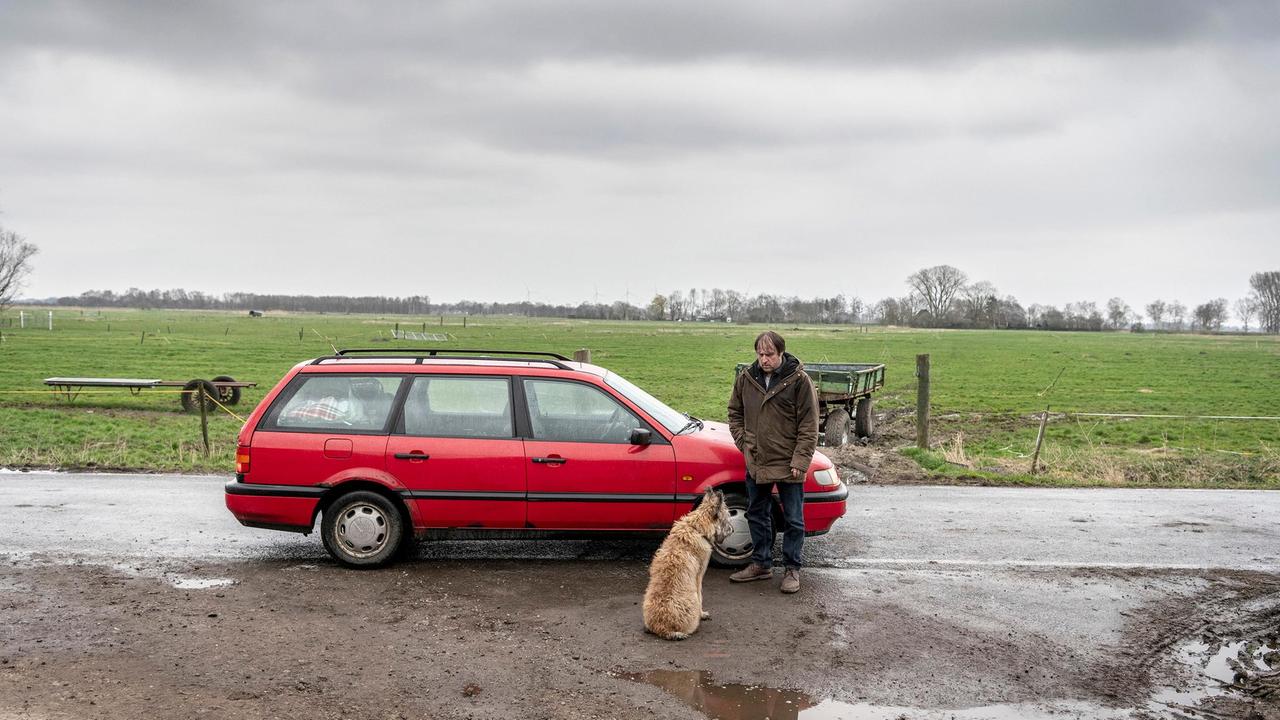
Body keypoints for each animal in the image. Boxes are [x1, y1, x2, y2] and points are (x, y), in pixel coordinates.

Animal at [640, 486, 732, 638]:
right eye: (727, 517)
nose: (733, 530)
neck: (696, 527)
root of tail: (662, 627)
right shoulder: (699, 576)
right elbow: (700, 595)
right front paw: (702, 614)